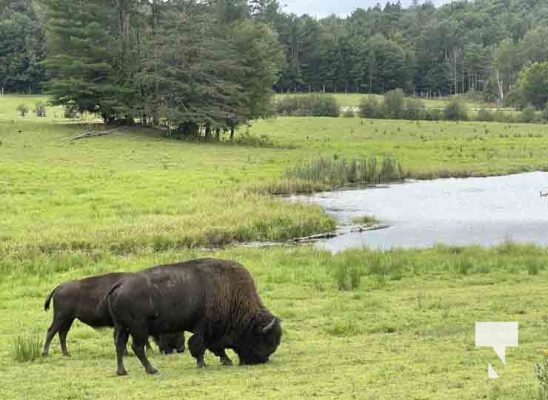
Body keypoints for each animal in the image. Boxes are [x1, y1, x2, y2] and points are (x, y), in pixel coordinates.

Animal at [42, 272, 184, 356]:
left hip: (69, 319)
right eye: (174, 330)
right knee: (51, 331)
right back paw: (45, 353)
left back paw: (66, 353)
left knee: (62, 333)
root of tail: (60, 286)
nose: (181, 349)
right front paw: (131, 352)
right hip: (61, 317)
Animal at [105, 258, 282, 376]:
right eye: (265, 340)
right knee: (137, 348)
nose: (261, 360)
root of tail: (119, 285)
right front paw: (202, 364)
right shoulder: (204, 328)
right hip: (138, 329)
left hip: (122, 328)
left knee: (119, 345)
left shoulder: (211, 331)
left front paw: (225, 361)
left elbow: (214, 347)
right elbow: (200, 346)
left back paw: (122, 371)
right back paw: (152, 370)